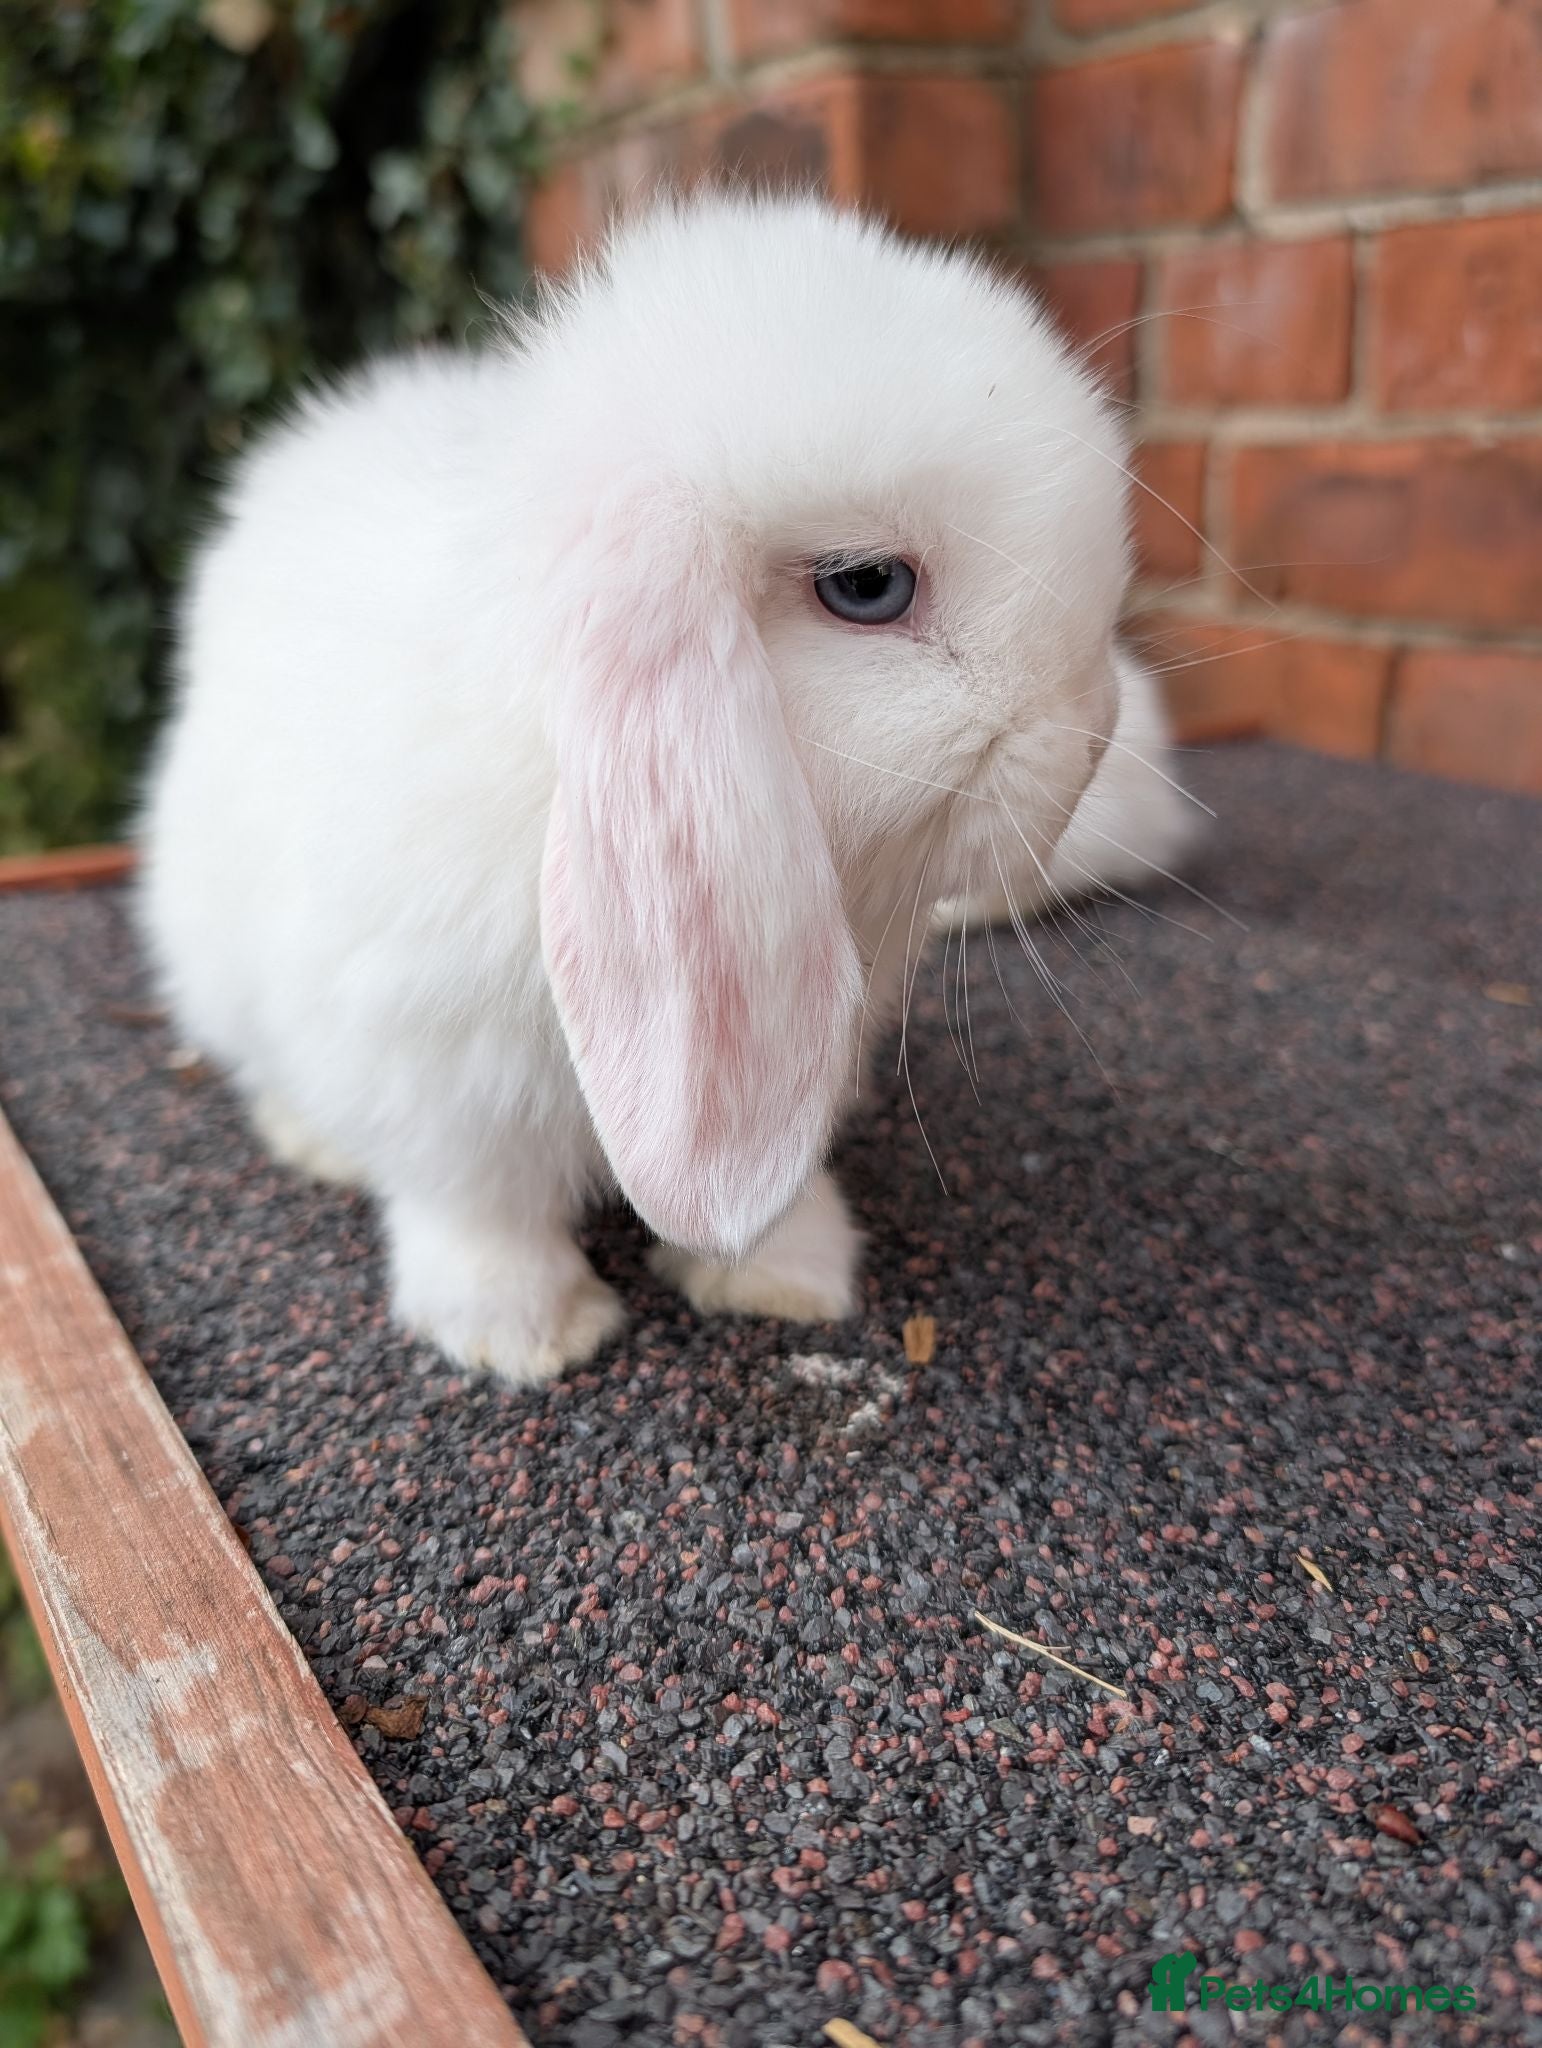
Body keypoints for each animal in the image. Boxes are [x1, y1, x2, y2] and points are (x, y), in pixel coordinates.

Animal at [139, 191, 1196, 1387]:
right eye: (867, 586)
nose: (1093, 737)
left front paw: (787, 1276)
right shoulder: (431, 1068)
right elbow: (478, 1203)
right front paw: (526, 1332)